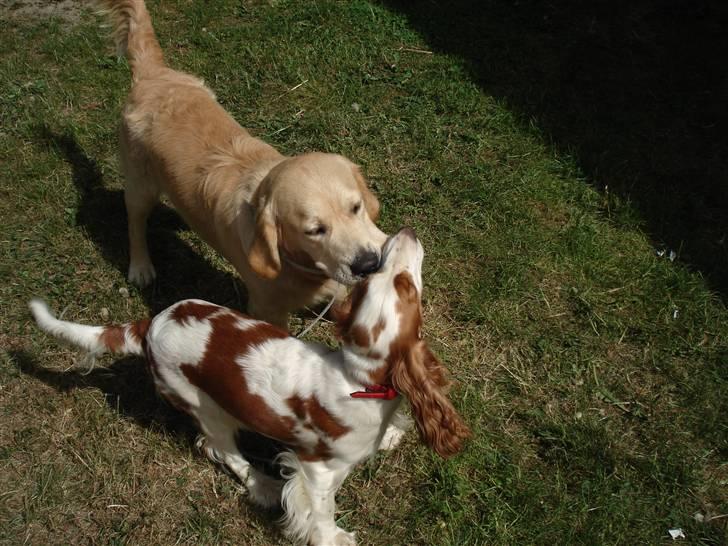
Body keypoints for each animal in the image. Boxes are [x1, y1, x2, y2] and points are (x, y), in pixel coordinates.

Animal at [29, 227, 466, 540]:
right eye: (403, 284)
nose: (405, 231)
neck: (358, 376)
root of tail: (150, 325)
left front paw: (390, 434)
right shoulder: (317, 469)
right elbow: (321, 511)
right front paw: (334, 538)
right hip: (206, 407)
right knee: (220, 449)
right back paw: (264, 486)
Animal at [99, 0, 390, 326]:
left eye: (356, 207)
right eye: (314, 230)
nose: (368, 264)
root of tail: (154, 74)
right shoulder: (266, 308)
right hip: (140, 184)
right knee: (135, 221)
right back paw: (141, 266)